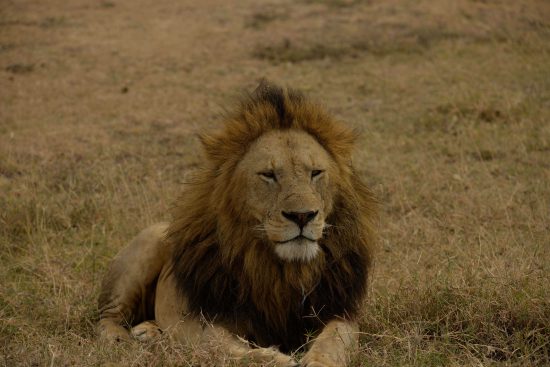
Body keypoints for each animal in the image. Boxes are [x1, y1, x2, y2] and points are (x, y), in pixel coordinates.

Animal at [97, 81, 378, 367]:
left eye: (316, 173)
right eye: (268, 175)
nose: (302, 216)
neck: (283, 270)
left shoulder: (338, 310)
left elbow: (334, 339)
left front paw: (319, 361)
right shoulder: (207, 322)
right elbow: (225, 349)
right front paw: (277, 359)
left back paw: (149, 330)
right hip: (148, 243)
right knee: (106, 317)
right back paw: (121, 339)